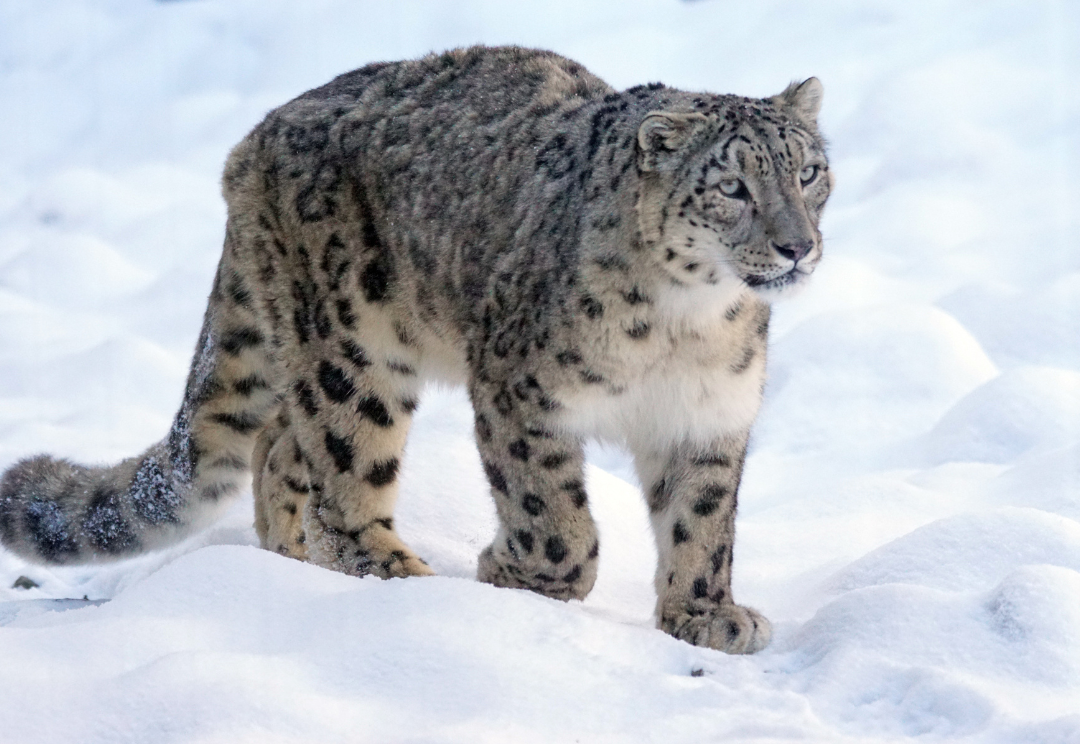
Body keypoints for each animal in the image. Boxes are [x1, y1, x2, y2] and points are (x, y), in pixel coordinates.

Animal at [0, 46, 831, 654]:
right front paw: (517, 573)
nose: (798, 246)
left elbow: (703, 523)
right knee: (341, 473)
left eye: (809, 171)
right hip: (351, 352)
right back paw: (395, 575)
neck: (689, 324)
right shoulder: (519, 393)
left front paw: (706, 615)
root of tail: (253, 140)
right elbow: (553, 515)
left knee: (280, 446)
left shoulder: (708, 416)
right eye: (732, 186)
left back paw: (288, 562)